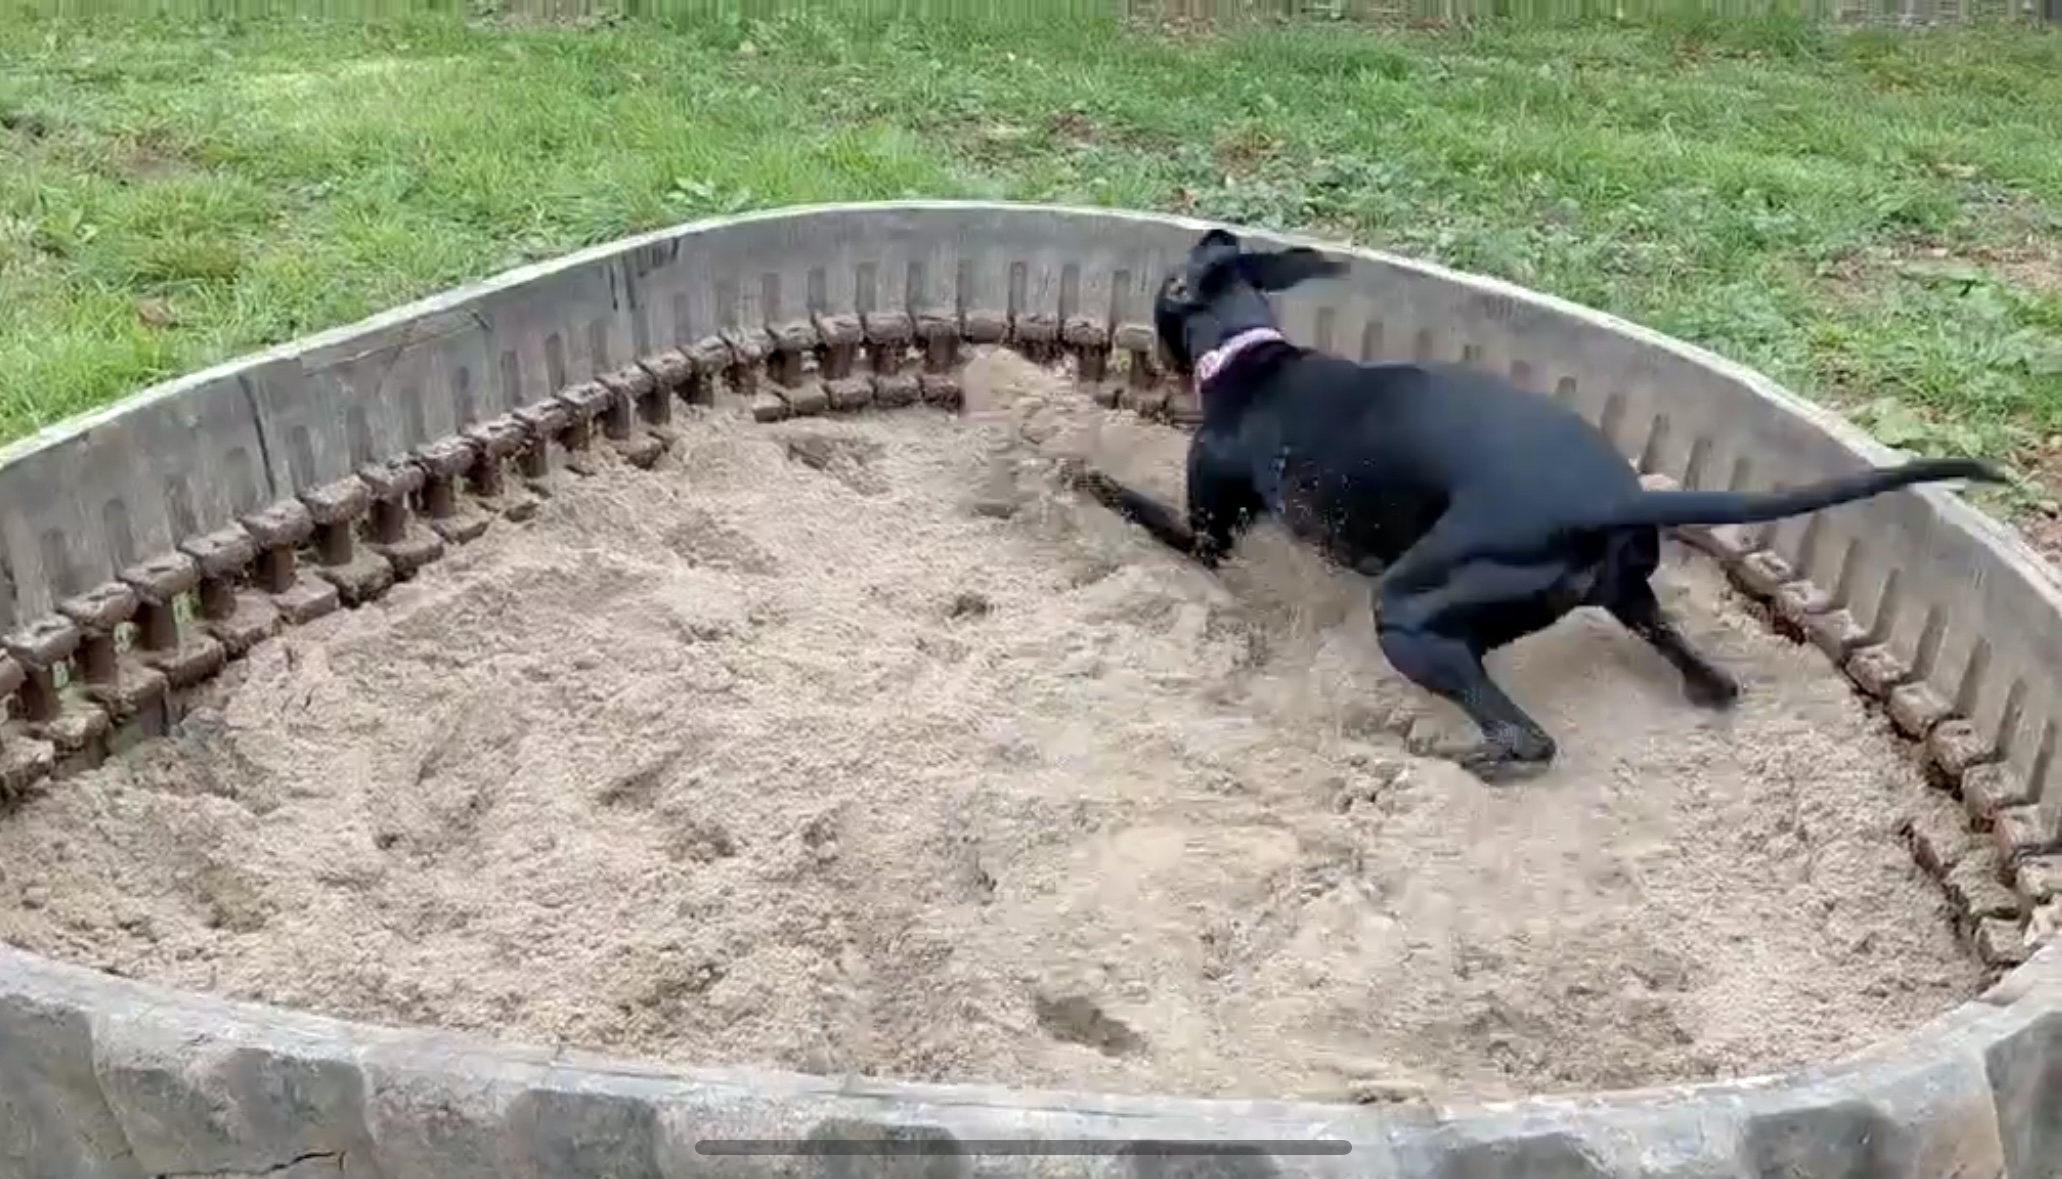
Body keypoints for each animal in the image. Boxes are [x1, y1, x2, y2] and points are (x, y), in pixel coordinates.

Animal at [1073, 227, 2006, 783]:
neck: (1248, 352)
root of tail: (1605, 499)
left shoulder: (1207, 534)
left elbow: (1137, 505)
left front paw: (1086, 477)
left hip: (1409, 612)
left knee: (1526, 737)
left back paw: (1451, 755)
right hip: (1630, 598)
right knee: (1706, 676)